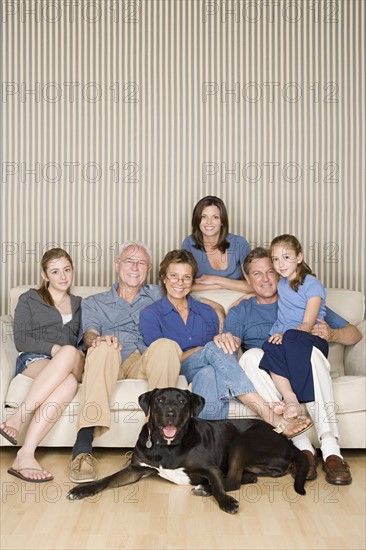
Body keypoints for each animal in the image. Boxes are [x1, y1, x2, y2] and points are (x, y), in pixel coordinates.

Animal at [67, 390, 308, 516]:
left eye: (182, 401)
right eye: (159, 400)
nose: (170, 413)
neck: (166, 446)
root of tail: (288, 441)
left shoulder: (210, 468)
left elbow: (219, 485)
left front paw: (225, 501)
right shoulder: (136, 469)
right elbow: (107, 479)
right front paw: (82, 490)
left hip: (242, 442)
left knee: (232, 480)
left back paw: (205, 489)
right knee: (247, 476)